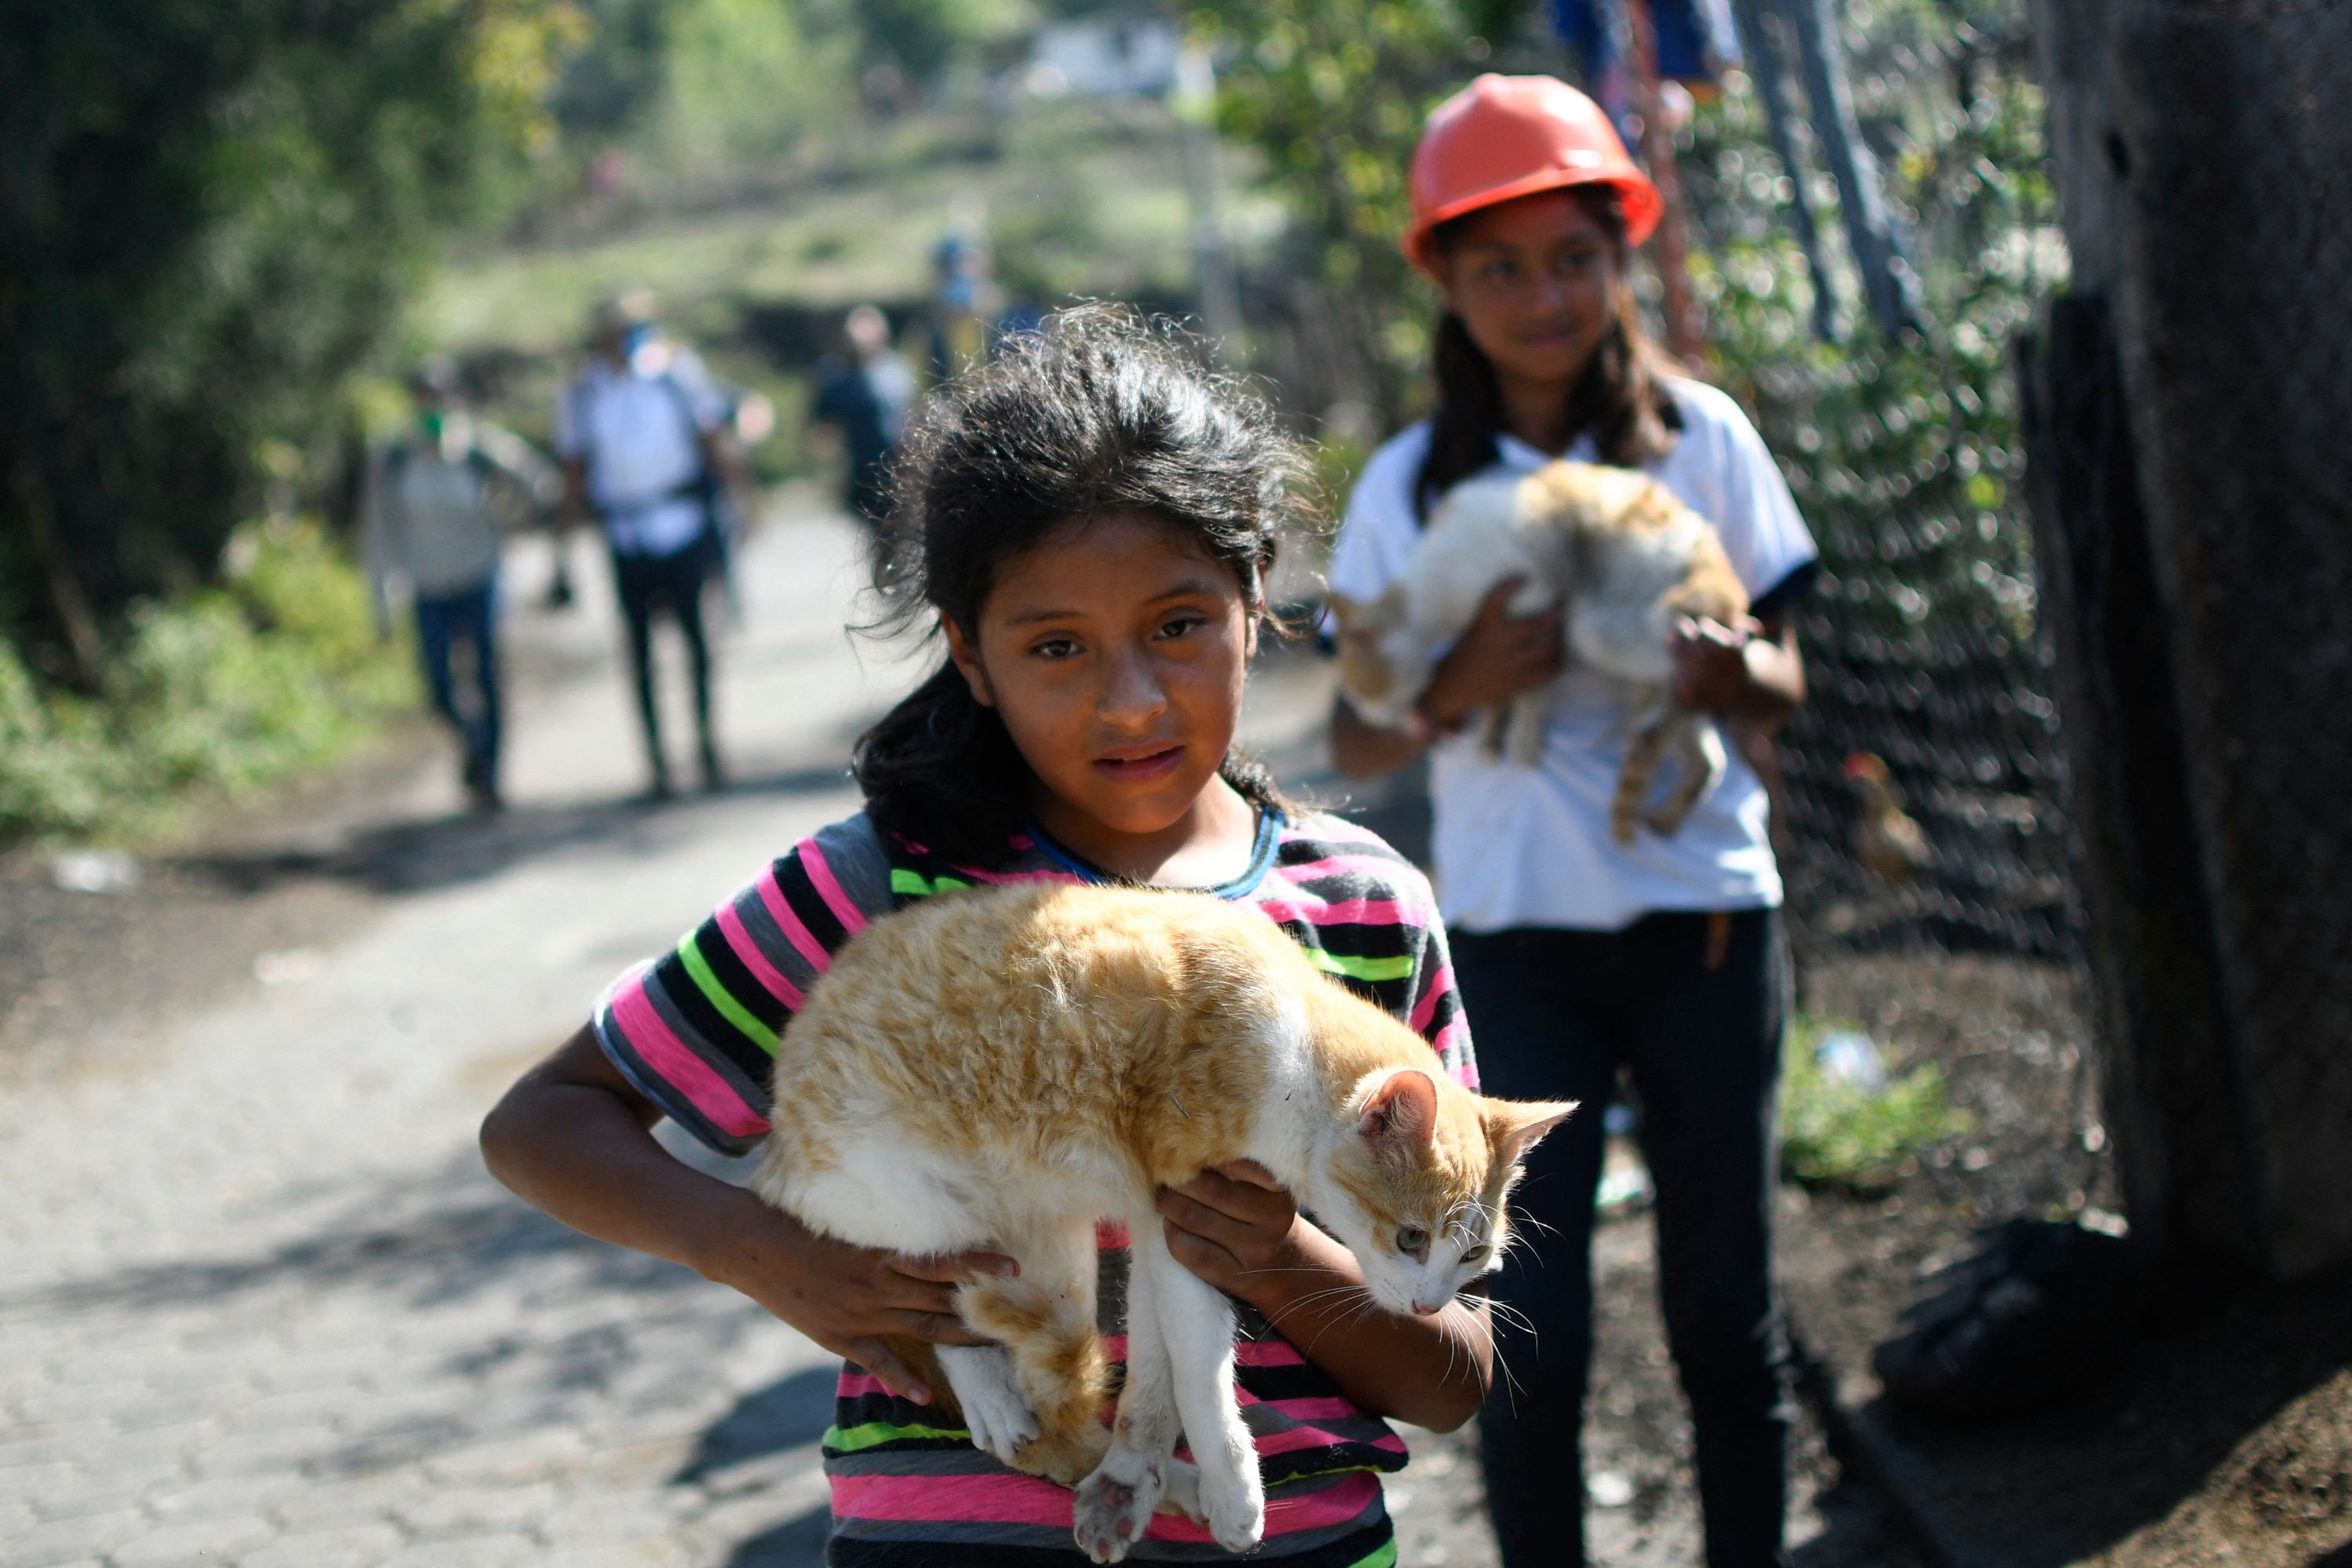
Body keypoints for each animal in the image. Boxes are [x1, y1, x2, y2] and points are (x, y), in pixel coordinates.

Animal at [743, 884, 1571, 1561]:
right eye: (1411, 1238)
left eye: (1473, 1258)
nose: (1430, 1306)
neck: (1293, 1039)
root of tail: (775, 1145)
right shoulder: (1182, 1196)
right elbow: (1201, 1369)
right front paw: (1233, 1487)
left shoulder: (1159, 1219)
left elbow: (1154, 1364)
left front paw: (1135, 1470)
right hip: (932, 1218)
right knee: (939, 1306)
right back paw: (996, 1397)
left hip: (1056, 1255)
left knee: (1057, 1411)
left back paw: (1156, 1485)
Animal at [1336, 456, 1759, 841]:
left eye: (1362, 692)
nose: (1370, 717)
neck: (1432, 593)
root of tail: (1721, 575)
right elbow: (1496, 695)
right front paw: (1489, 736)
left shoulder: (1535, 601)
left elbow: (1531, 689)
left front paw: (1521, 737)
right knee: (1703, 753)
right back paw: (1663, 797)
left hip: (1605, 625)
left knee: (1677, 674)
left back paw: (1660, 715)